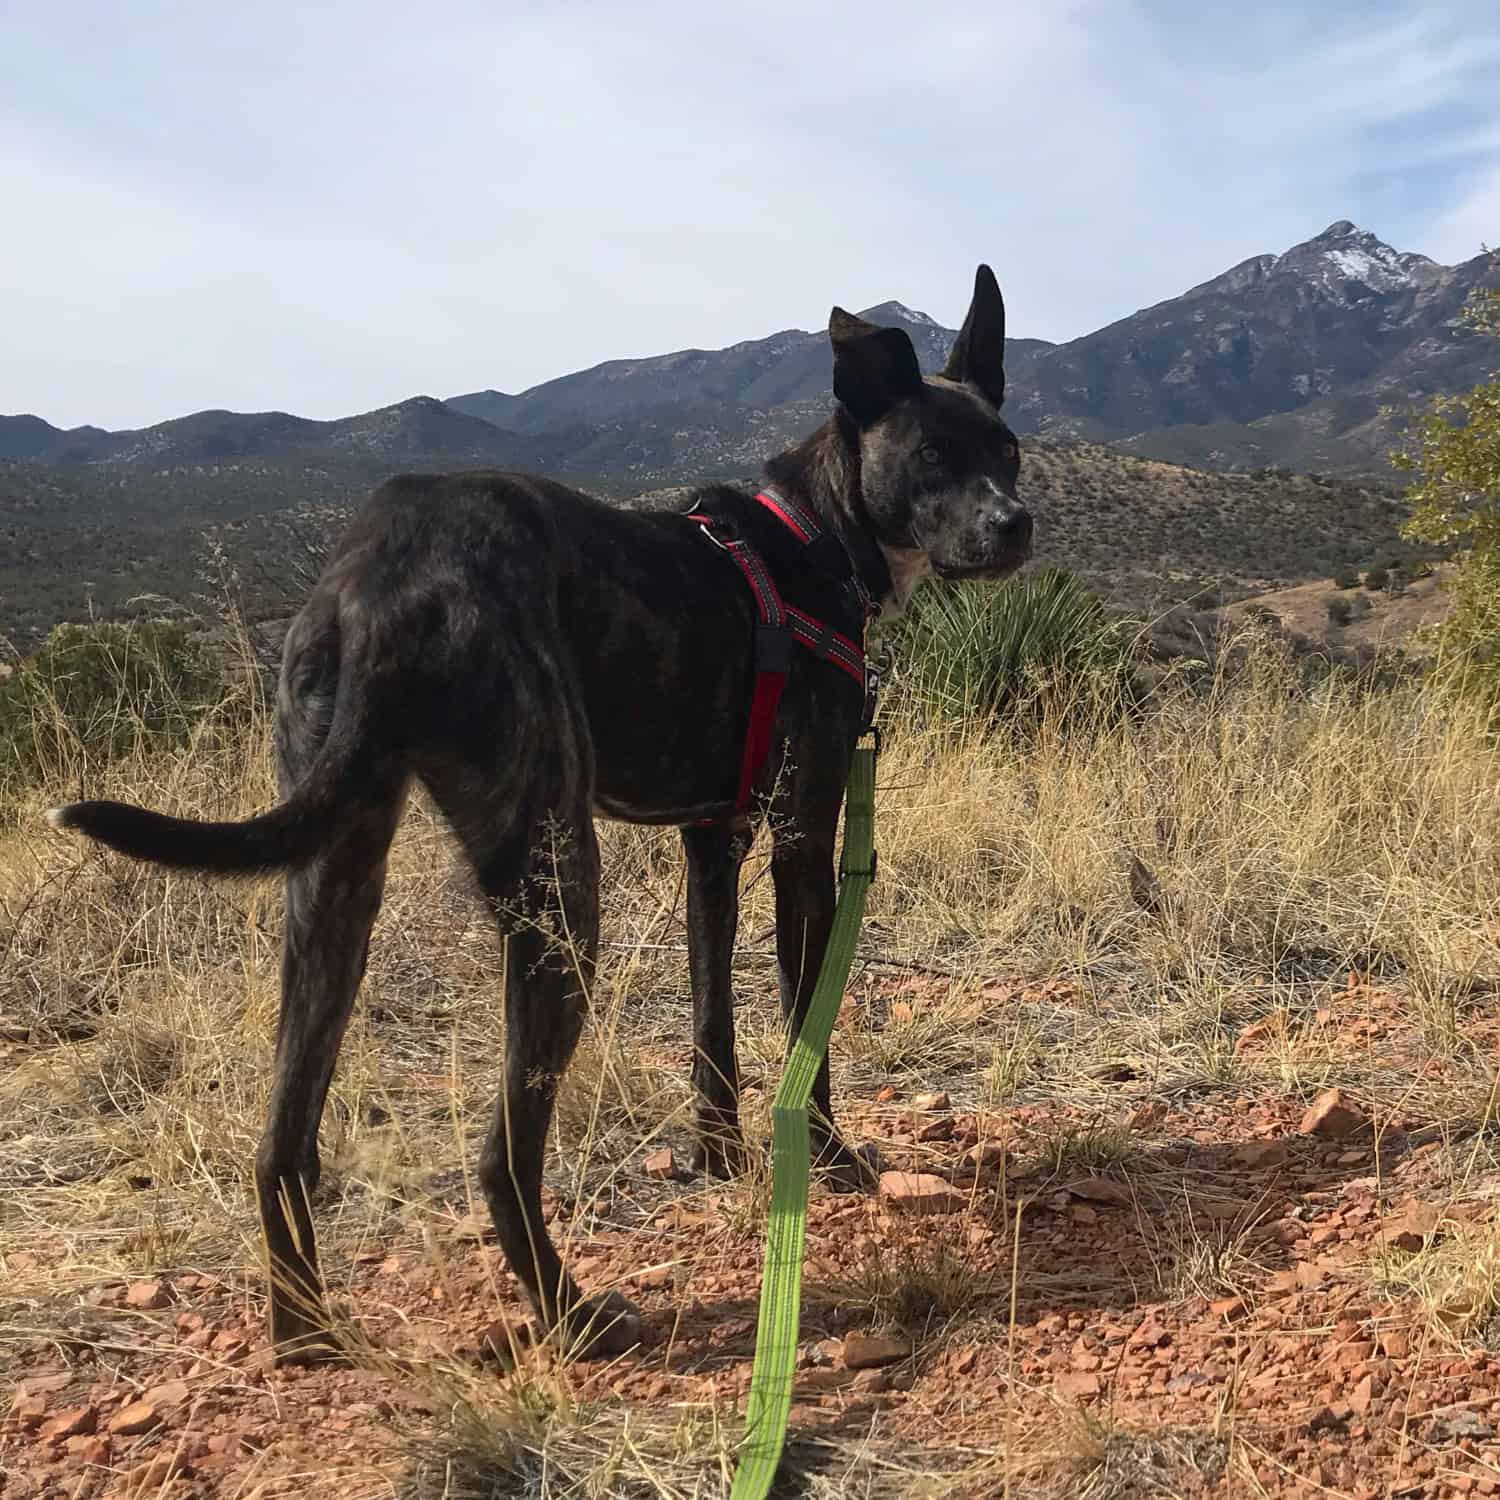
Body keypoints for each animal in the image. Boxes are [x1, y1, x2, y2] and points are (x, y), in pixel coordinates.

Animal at [46, 264, 1032, 1368]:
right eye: (933, 454)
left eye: (1008, 450)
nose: (1016, 524)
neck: (814, 535)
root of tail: (384, 578)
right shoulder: (800, 837)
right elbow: (802, 1030)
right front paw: (826, 1161)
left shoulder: (712, 841)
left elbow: (711, 1020)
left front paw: (717, 1156)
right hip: (563, 884)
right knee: (499, 1153)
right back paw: (571, 1314)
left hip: (336, 875)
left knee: (283, 1139)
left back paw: (305, 1335)